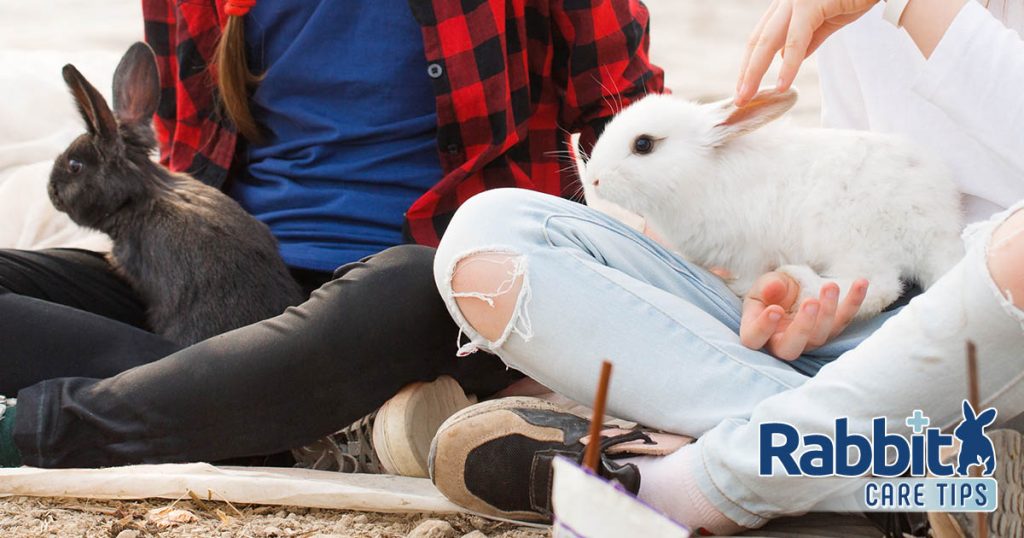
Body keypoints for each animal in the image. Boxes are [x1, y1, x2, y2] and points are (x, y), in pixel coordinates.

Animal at [581, 88, 965, 319]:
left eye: (643, 144)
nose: (595, 179)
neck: (698, 173)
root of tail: (939, 229)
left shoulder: (750, 251)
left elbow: (749, 273)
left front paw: (739, 288)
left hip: (853, 241)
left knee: (878, 286)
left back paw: (799, 279)